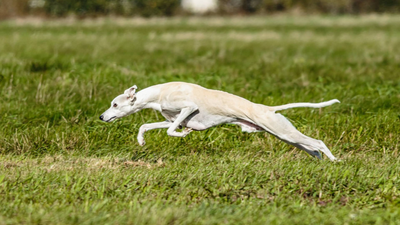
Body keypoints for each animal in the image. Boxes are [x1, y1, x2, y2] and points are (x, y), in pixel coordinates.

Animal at [98, 81, 340, 161]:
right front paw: (141, 140)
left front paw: (182, 134)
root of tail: (269, 109)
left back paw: (335, 161)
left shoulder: (188, 108)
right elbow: (147, 125)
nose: (101, 116)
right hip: (285, 136)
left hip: (283, 132)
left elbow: (171, 131)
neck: (159, 92)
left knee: (318, 143)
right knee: (312, 149)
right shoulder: (173, 119)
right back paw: (320, 161)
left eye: (115, 104)